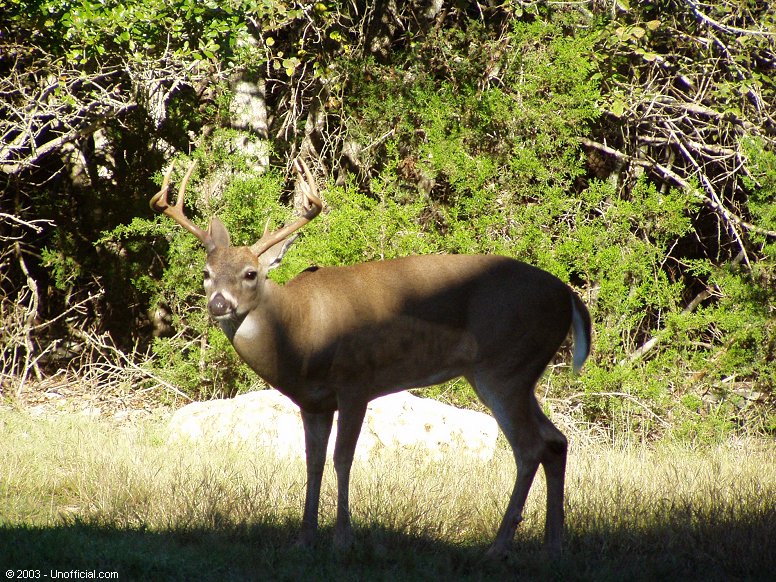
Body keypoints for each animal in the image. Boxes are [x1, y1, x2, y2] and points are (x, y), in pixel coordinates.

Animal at [149, 157, 592, 560]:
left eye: (250, 273)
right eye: (206, 273)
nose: (219, 304)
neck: (301, 333)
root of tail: (569, 296)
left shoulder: (356, 381)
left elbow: (343, 457)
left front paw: (343, 539)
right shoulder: (312, 401)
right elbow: (312, 461)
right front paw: (304, 537)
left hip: (503, 366)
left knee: (530, 447)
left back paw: (498, 548)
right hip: (521, 372)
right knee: (556, 441)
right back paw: (553, 546)